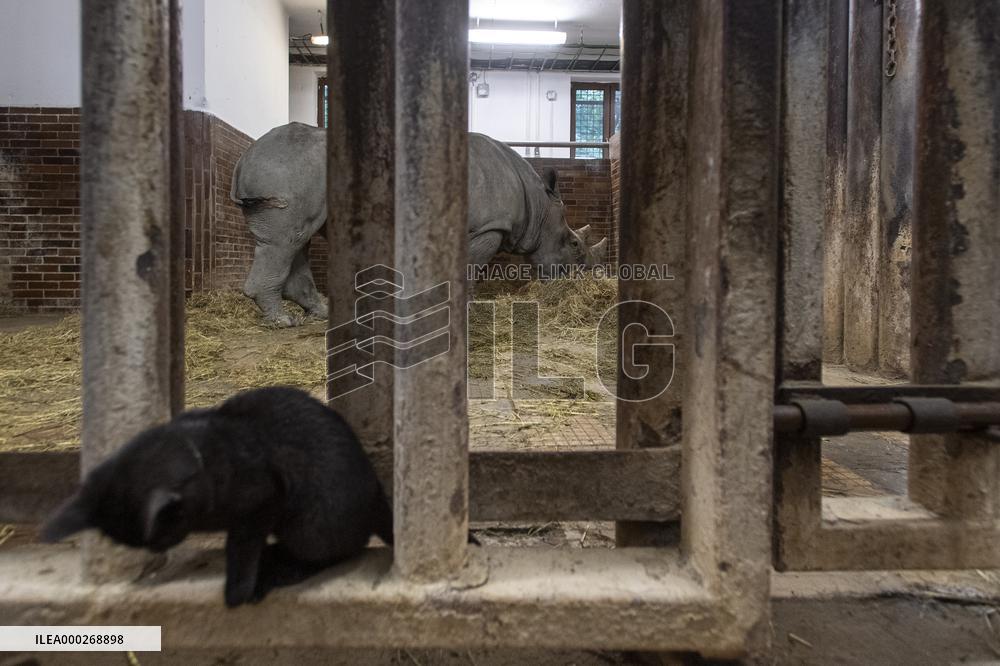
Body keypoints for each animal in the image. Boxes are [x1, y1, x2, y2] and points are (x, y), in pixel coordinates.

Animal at [231, 122, 607, 326]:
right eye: (574, 244)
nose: (582, 280)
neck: (539, 204)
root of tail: (245, 156)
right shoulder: (488, 228)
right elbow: (471, 269)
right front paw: (464, 309)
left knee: (299, 239)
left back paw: (321, 313)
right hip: (284, 172)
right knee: (285, 242)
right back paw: (283, 321)